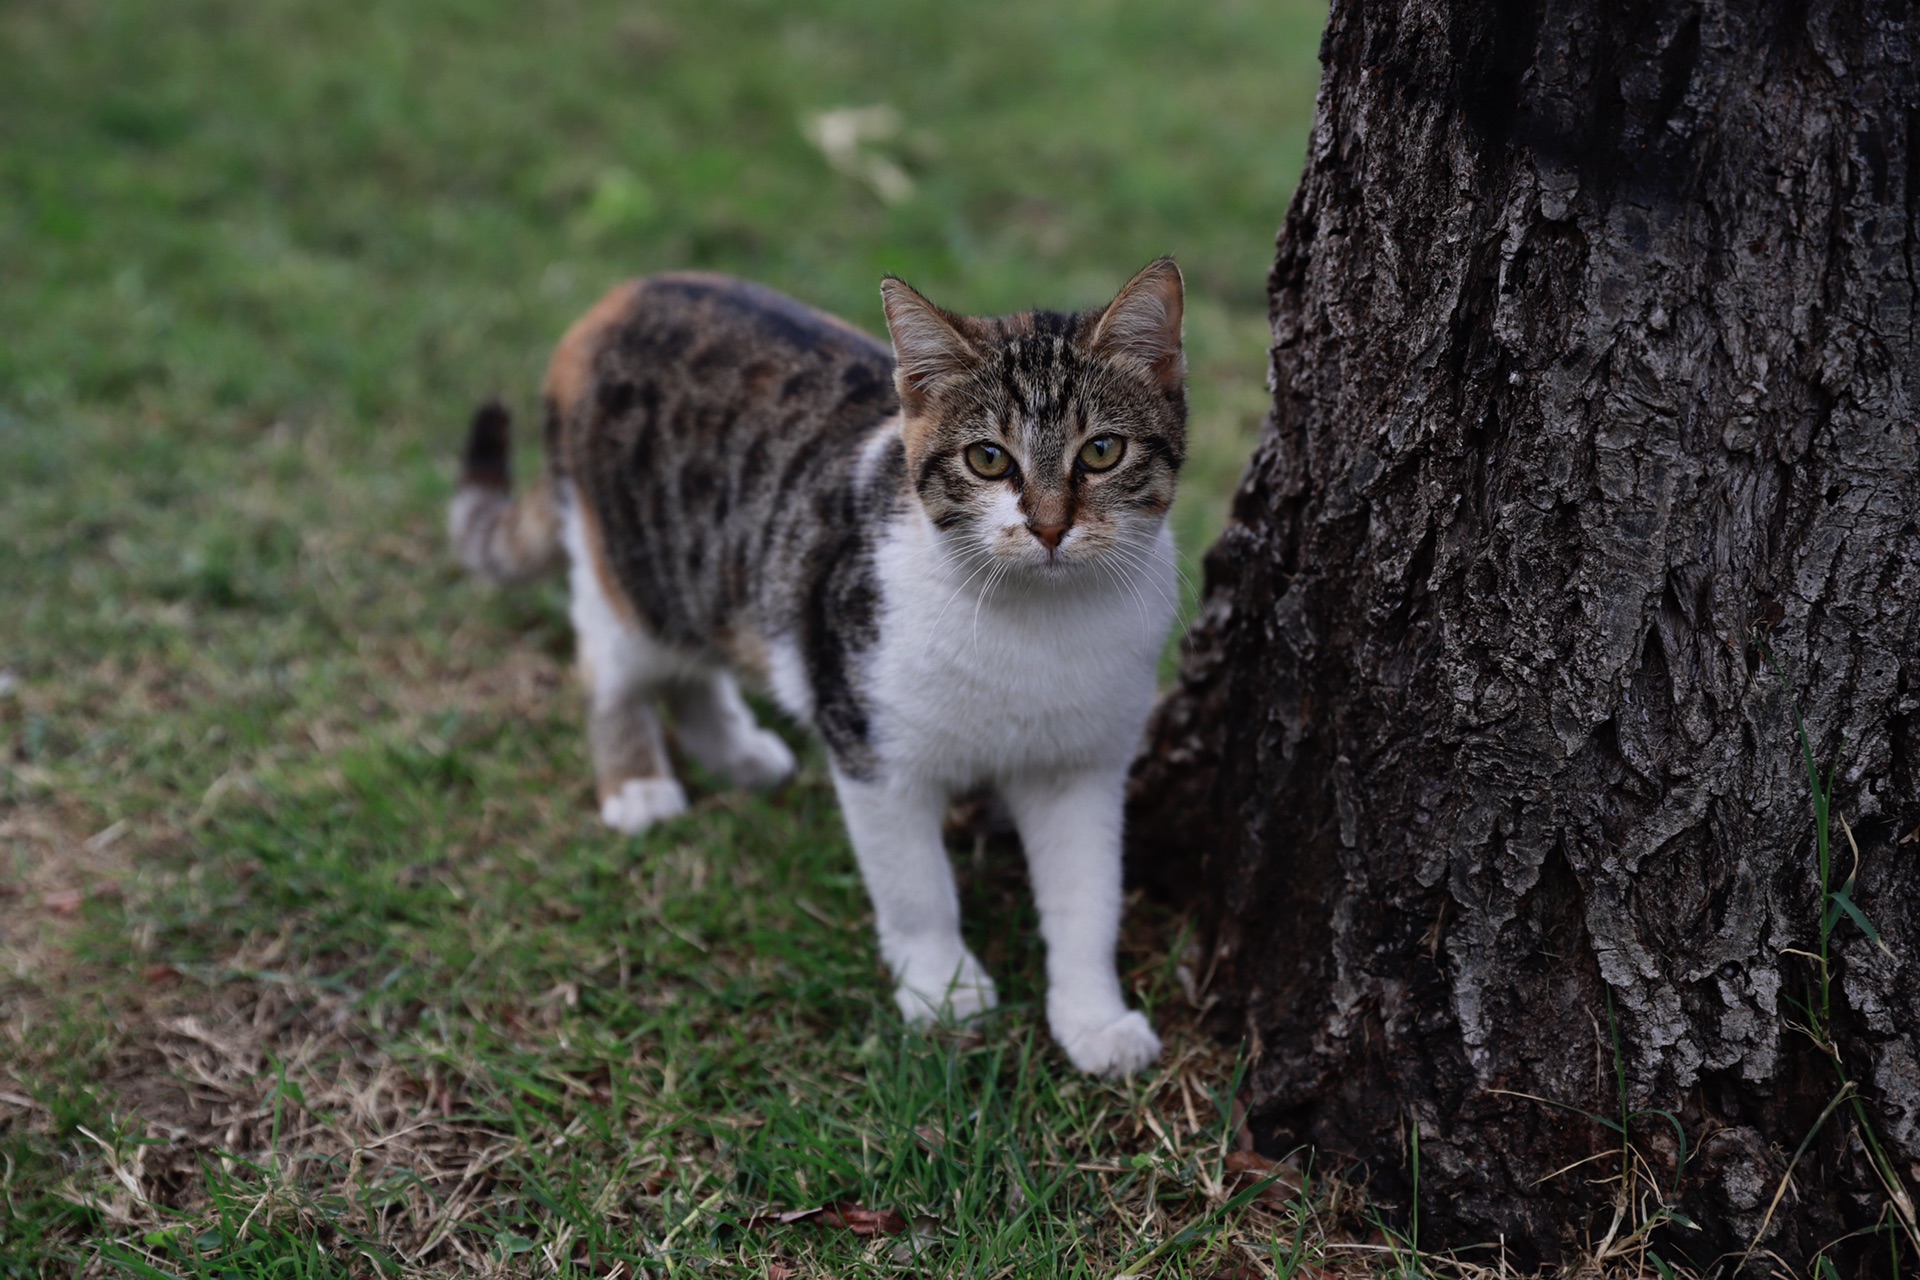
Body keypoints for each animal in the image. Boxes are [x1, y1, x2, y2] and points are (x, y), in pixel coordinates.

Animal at [453, 262, 1182, 1082]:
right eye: (988, 459)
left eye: (1102, 452)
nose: (1051, 526)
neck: (1039, 621)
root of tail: (618, 299)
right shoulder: (868, 740)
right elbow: (916, 888)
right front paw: (943, 990)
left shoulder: (1082, 767)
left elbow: (1088, 898)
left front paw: (1093, 1019)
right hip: (629, 564)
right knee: (613, 662)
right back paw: (636, 782)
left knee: (693, 663)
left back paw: (736, 754)